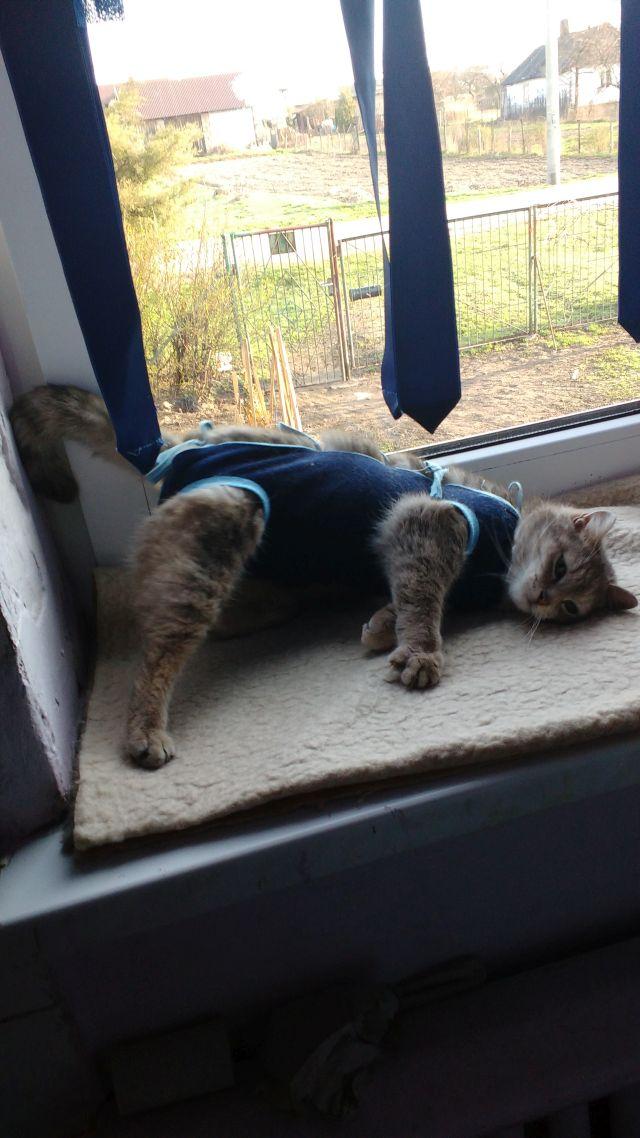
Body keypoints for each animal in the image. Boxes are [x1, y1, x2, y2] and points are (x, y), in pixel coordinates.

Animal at [10, 384, 637, 770]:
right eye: (560, 567)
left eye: (573, 608)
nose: (544, 598)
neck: (500, 551)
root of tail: (177, 451)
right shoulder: (430, 522)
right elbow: (423, 599)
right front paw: (420, 650)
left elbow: (408, 599)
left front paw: (383, 627)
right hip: (226, 524)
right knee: (161, 651)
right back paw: (146, 727)